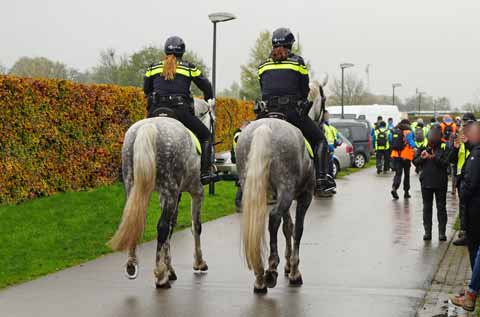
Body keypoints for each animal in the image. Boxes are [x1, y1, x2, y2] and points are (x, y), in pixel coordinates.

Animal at [110, 100, 212, 288]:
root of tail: (148, 127)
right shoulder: (195, 192)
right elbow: (195, 226)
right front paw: (198, 263)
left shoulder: (169, 195)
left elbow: (172, 227)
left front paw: (170, 269)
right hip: (171, 190)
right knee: (162, 226)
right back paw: (160, 276)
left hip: (133, 187)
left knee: (136, 222)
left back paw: (132, 265)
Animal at [236, 119, 316, 294]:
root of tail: (264, 127)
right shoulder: (304, 196)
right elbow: (297, 229)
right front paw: (294, 272)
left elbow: (287, 227)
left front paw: (288, 266)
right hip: (286, 188)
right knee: (273, 218)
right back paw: (271, 270)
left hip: (253, 189)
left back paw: (260, 276)